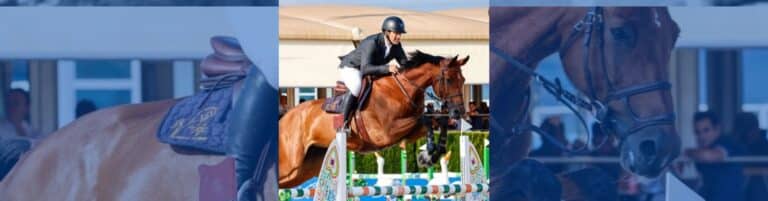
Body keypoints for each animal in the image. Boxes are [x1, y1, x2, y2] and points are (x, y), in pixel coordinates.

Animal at [276, 50, 468, 188]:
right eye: (449, 80)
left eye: (463, 79)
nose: (458, 112)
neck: (400, 91)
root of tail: (285, 118)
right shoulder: (386, 133)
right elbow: (426, 119)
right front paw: (428, 153)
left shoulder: (408, 132)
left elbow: (436, 121)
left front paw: (431, 154)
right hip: (291, 163)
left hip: (303, 169)